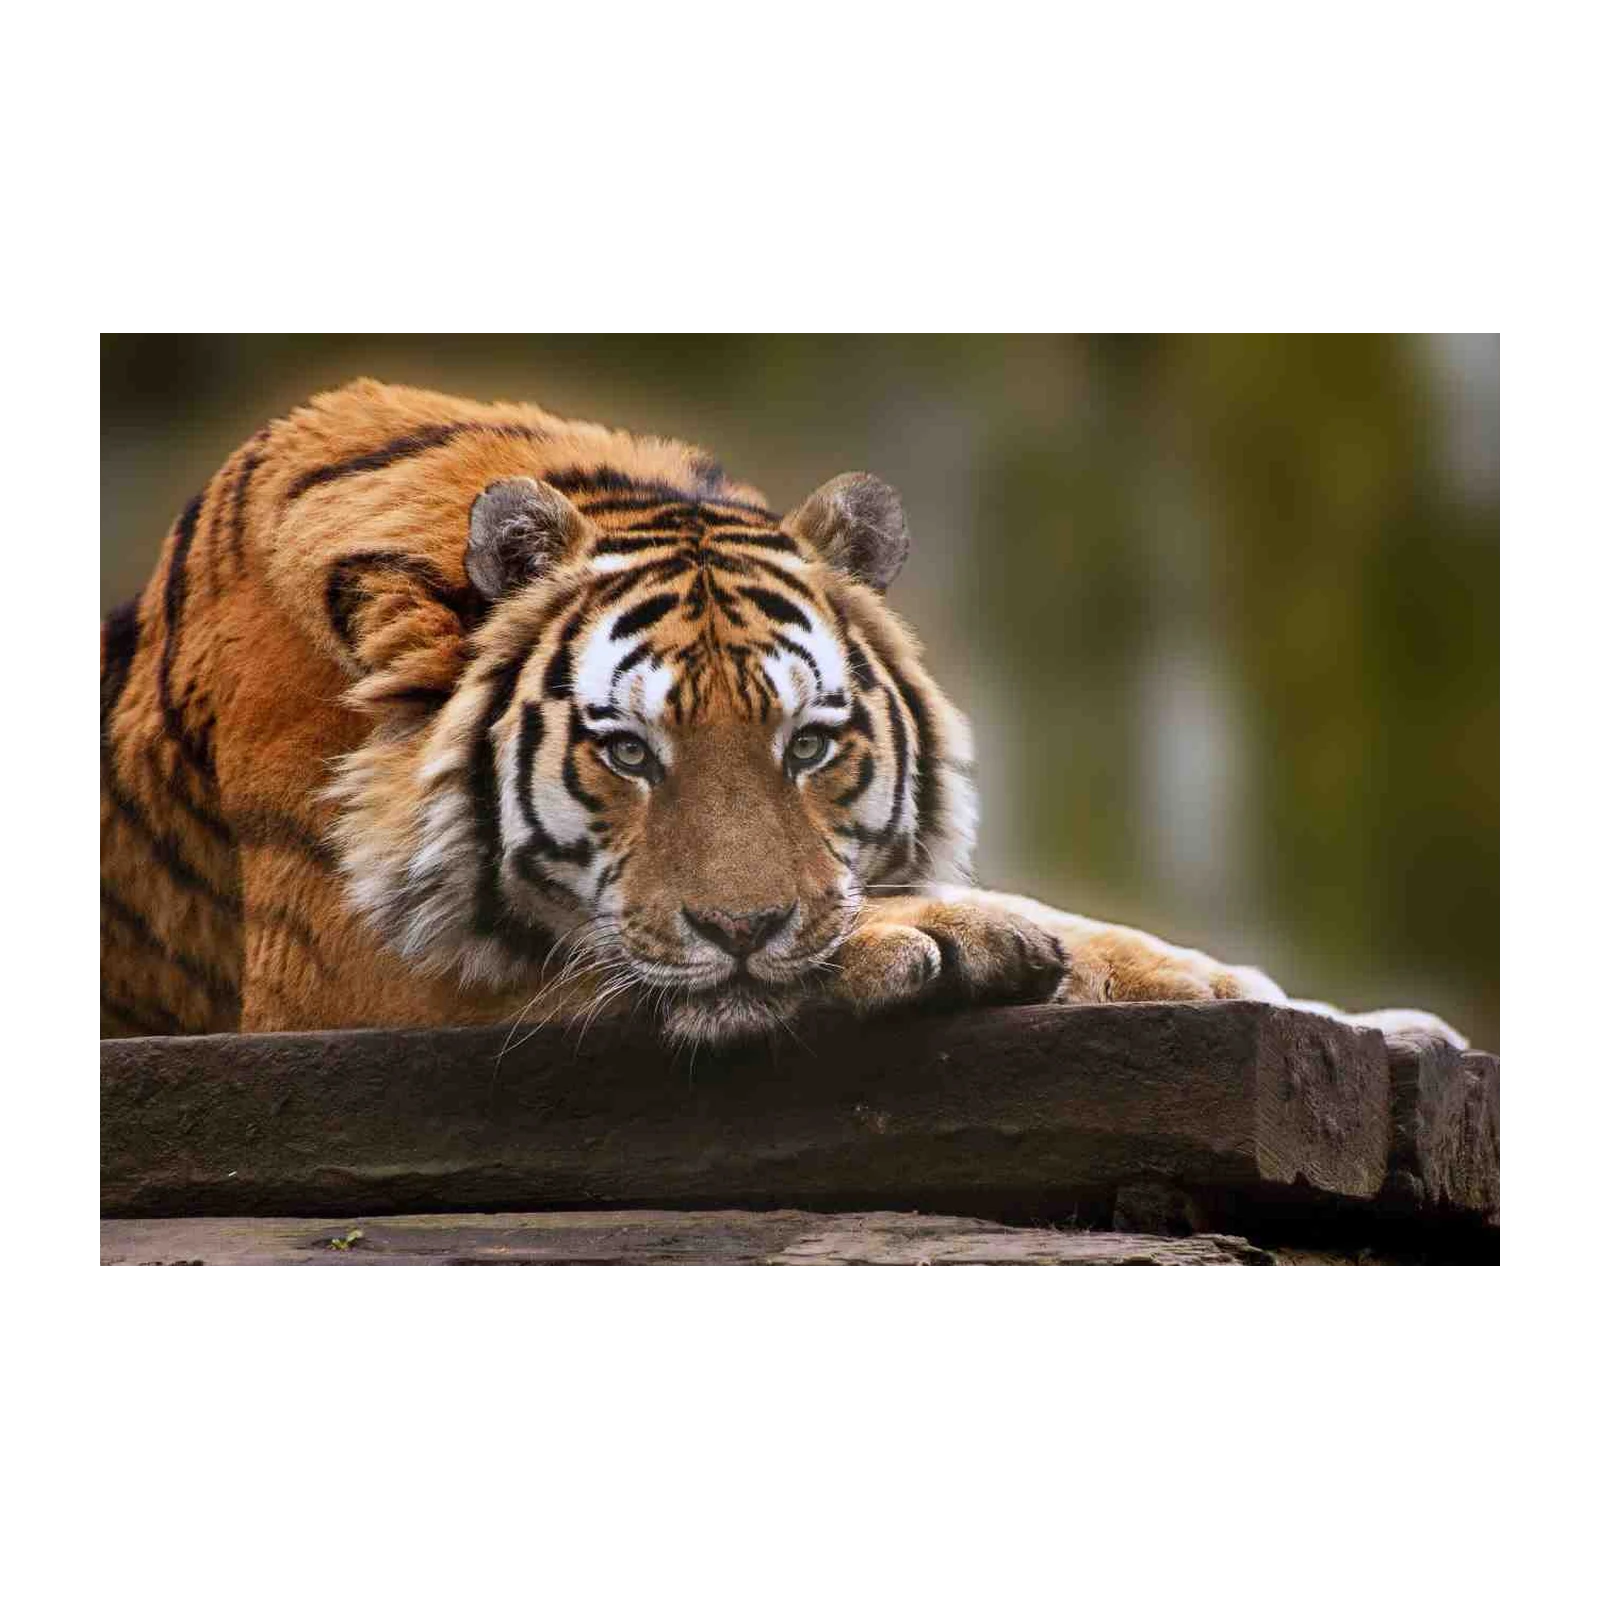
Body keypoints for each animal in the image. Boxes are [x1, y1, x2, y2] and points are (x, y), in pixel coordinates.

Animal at [96, 378, 1468, 1051]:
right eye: (625, 752)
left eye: (808, 743)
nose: (745, 929)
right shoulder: (344, 976)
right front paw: (942, 939)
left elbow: (1120, 942)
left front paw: (1371, 1023)